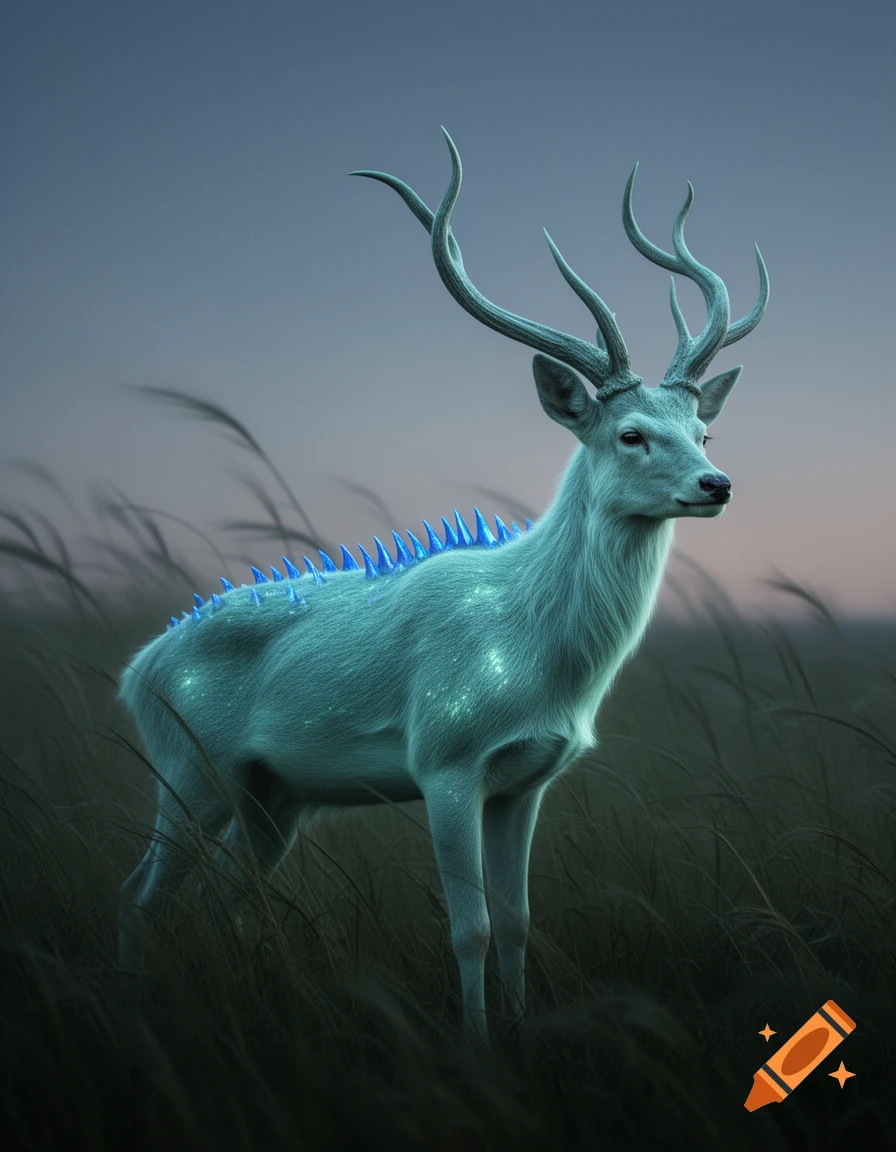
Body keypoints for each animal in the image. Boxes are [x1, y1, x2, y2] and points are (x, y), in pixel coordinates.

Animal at [117, 128, 768, 1043]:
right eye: (633, 433)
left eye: (702, 430)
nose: (717, 484)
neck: (540, 657)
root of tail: (134, 670)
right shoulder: (446, 760)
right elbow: (471, 927)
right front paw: (477, 1045)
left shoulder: (525, 781)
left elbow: (521, 920)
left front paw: (524, 1032)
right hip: (185, 767)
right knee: (141, 895)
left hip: (269, 795)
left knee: (220, 897)